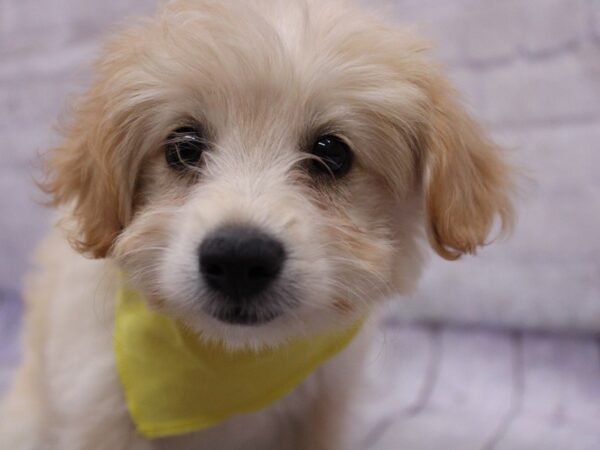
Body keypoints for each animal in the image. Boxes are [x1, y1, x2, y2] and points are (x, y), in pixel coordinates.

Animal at [1, 0, 510, 450]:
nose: (238, 258)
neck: (231, 361)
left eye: (332, 153)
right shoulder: (97, 403)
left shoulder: (322, 408)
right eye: (184, 147)